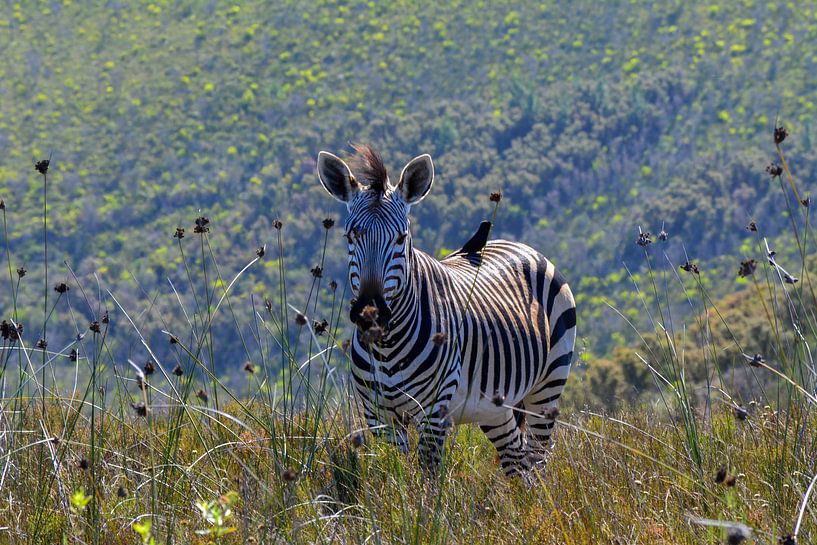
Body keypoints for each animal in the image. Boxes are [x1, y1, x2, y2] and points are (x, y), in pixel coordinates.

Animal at [316, 144, 576, 476]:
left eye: (401, 238)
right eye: (350, 236)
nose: (370, 314)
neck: (388, 348)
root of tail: (521, 246)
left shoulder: (433, 412)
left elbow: (426, 477)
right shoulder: (379, 417)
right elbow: (398, 475)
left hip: (547, 387)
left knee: (538, 459)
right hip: (495, 408)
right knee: (518, 464)